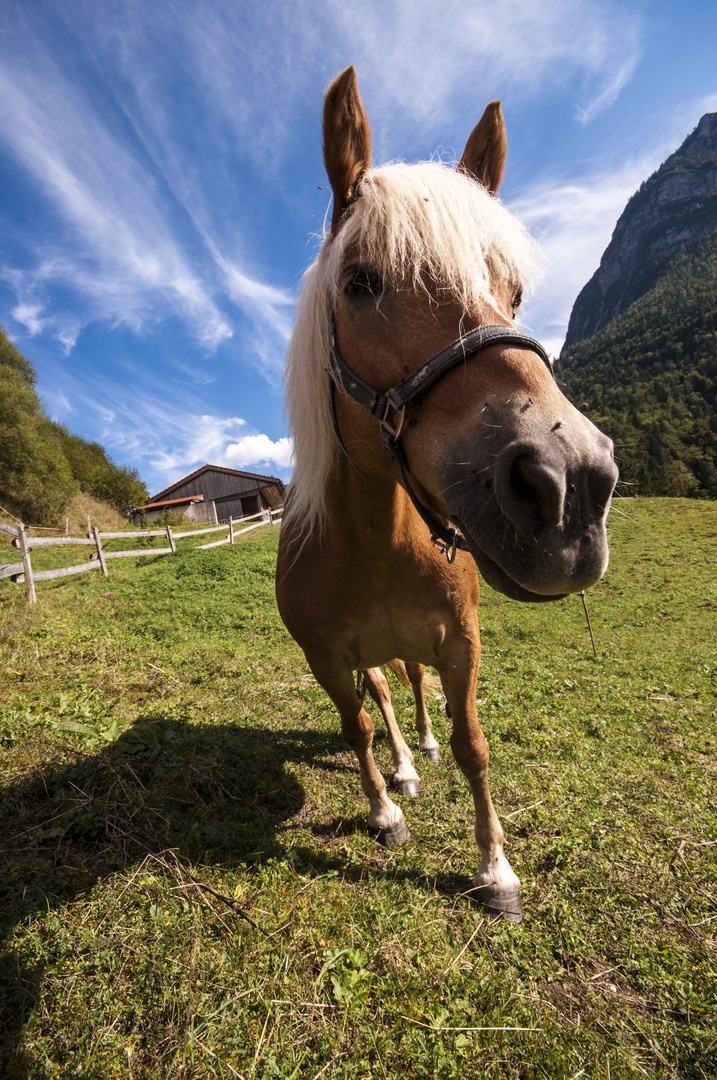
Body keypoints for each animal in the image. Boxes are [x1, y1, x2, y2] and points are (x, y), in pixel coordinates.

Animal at [274, 67, 617, 924]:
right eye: (360, 283)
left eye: (514, 293)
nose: (569, 485)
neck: (375, 543)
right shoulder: (326, 659)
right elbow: (357, 729)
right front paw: (382, 810)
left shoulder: (460, 641)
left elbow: (471, 744)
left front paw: (495, 870)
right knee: (382, 704)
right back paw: (400, 771)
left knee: (414, 695)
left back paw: (419, 750)